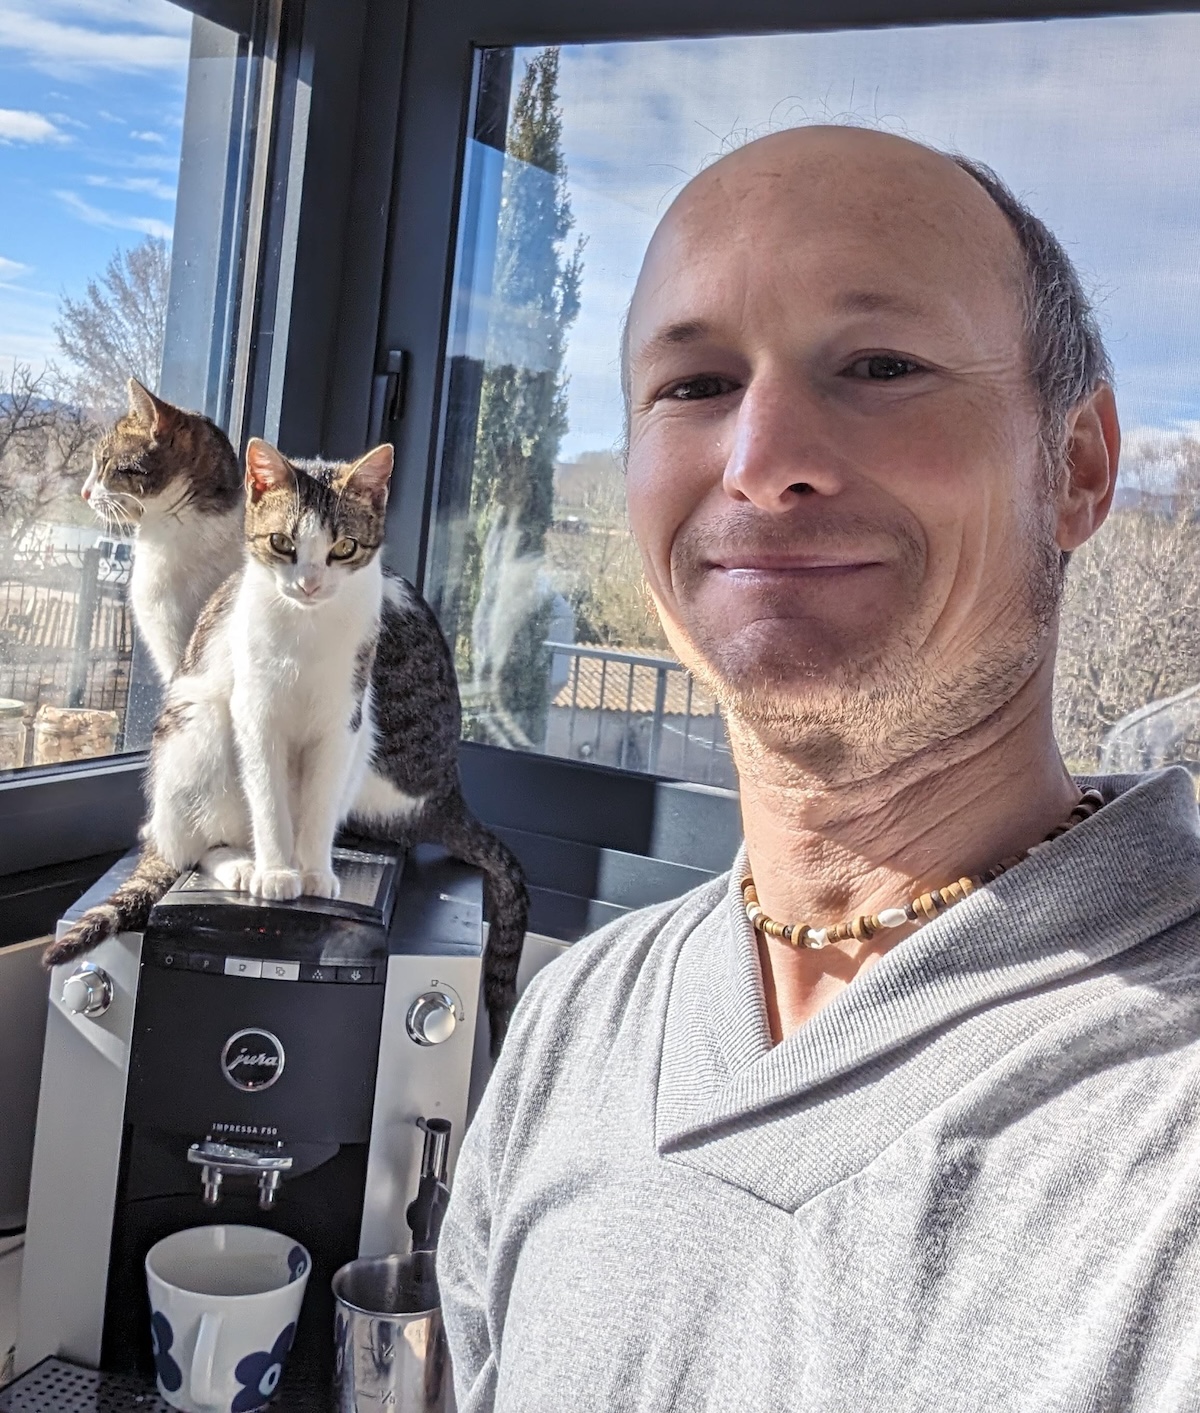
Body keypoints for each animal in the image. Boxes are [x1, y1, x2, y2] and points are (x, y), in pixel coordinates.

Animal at [50, 381, 528, 1056]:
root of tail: (449, 795)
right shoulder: (242, 703)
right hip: (207, 722)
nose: (87, 493)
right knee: (196, 834)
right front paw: (279, 869)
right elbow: (264, 801)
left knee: (199, 839)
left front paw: (297, 871)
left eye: (110, 464)